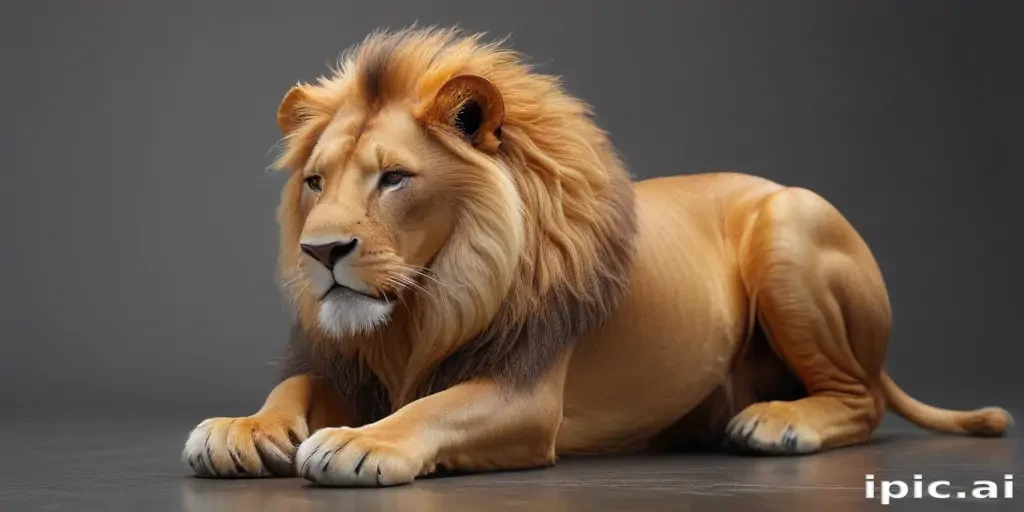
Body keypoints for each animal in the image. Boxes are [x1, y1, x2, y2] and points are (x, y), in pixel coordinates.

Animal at [182, 27, 1012, 487]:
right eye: (315, 181)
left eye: (394, 178)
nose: (321, 251)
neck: (421, 305)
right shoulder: (349, 362)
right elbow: (293, 388)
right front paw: (240, 429)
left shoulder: (524, 391)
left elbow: (433, 407)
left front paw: (360, 442)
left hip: (789, 221)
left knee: (860, 398)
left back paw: (778, 424)